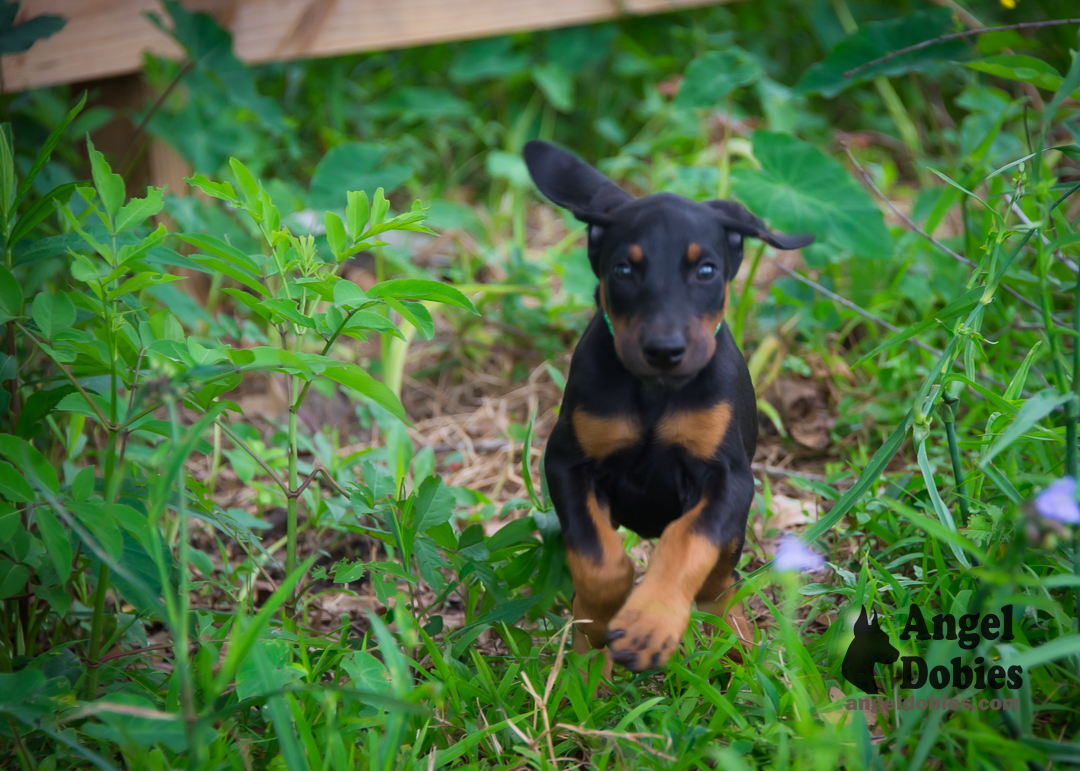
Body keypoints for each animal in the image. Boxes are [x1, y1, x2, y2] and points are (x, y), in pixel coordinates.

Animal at [527, 141, 812, 669]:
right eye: (623, 269)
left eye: (706, 270)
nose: (664, 349)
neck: (655, 392)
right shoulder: (568, 464)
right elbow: (597, 559)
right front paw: (603, 617)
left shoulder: (728, 477)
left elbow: (688, 541)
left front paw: (650, 623)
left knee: (721, 584)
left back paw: (738, 649)